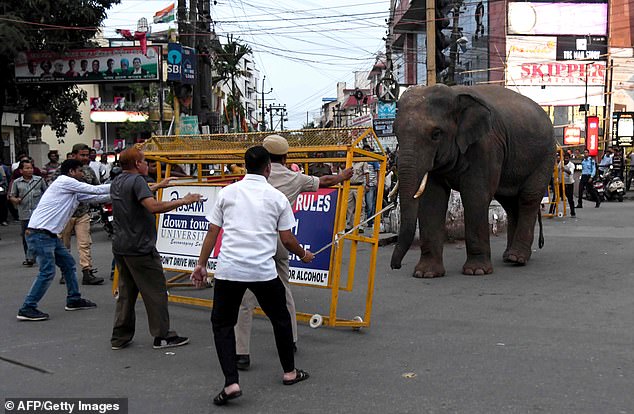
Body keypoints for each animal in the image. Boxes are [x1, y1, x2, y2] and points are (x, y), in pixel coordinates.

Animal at [388, 83, 556, 278]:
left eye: (436, 134)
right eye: (395, 132)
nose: (396, 266)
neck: (454, 94)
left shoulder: (486, 145)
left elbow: (475, 196)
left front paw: (477, 271)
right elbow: (432, 200)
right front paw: (426, 273)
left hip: (545, 156)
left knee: (528, 199)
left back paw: (517, 258)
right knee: (510, 204)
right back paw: (509, 257)